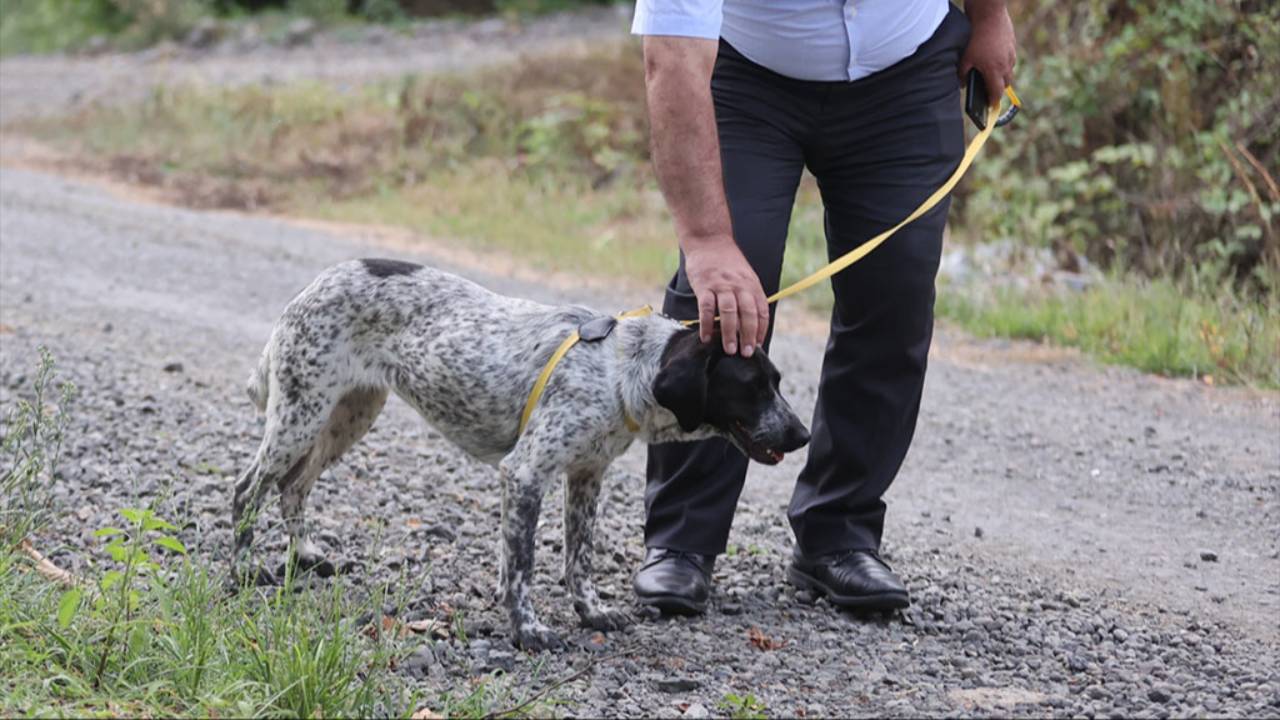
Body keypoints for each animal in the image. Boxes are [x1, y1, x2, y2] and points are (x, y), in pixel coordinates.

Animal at [232, 256, 808, 645]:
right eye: (752, 387)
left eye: (778, 383)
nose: (801, 435)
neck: (622, 369)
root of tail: (314, 282)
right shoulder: (526, 473)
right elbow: (524, 564)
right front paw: (528, 629)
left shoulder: (586, 476)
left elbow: (577, 559)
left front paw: (591, 614)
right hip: (301, 417)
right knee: (246, 490)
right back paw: (242, 571)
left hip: (347, 417)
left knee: (292, 487)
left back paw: (307, 554)